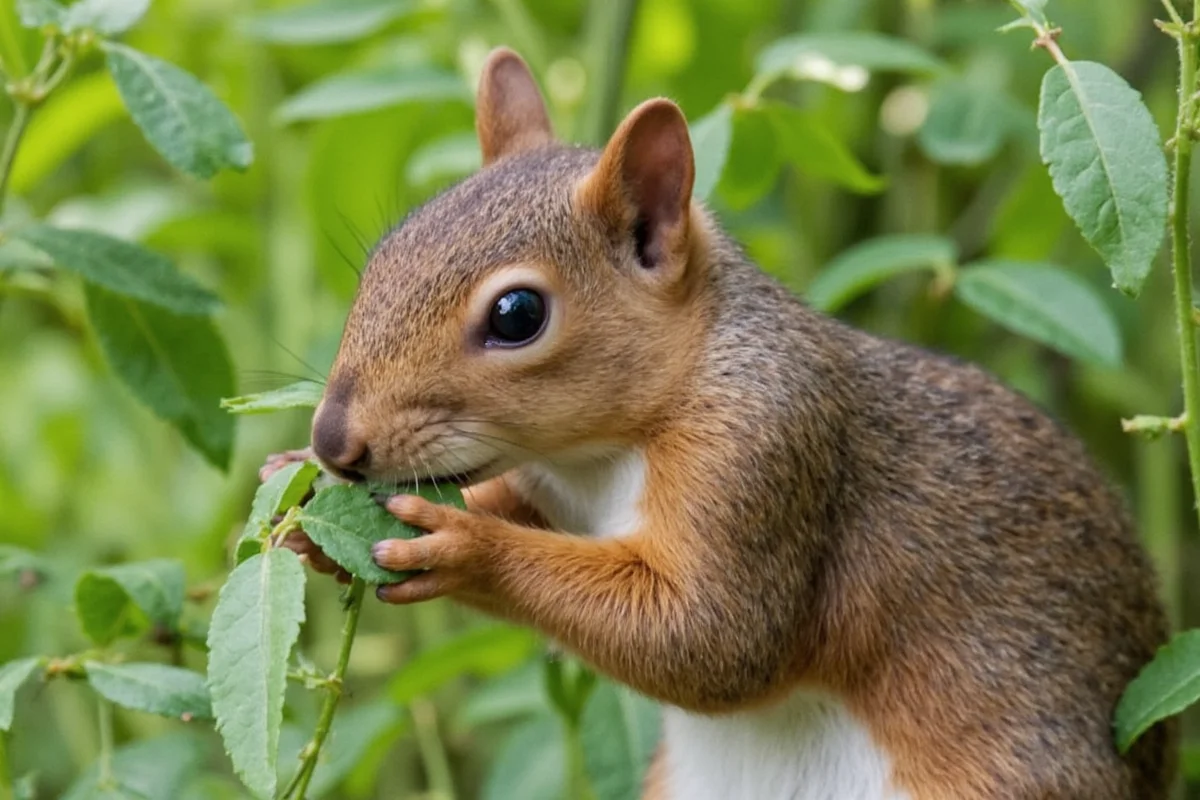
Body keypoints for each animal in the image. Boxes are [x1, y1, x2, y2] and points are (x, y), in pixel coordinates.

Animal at [270, 47, 1177, 799]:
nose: (331, 442)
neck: (603, 456)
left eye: (518, 314)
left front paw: (464, 546)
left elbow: (711, 638)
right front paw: (303, 512)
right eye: (383, 254)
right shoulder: (560, 489)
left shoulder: (767, 452)